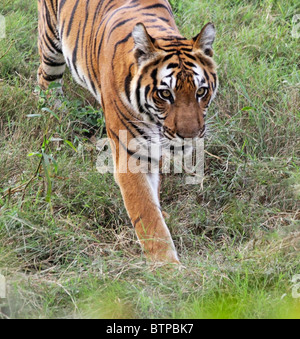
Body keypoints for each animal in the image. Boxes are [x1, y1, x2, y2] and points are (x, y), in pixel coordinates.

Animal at [38, 0, 219, 266]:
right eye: (165, 94)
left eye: (201, 91)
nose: (190, 135)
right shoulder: (131, 156)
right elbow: (146, 214)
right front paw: (168, 267)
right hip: (51, 45)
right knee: (46, 82)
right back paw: (55, 121)